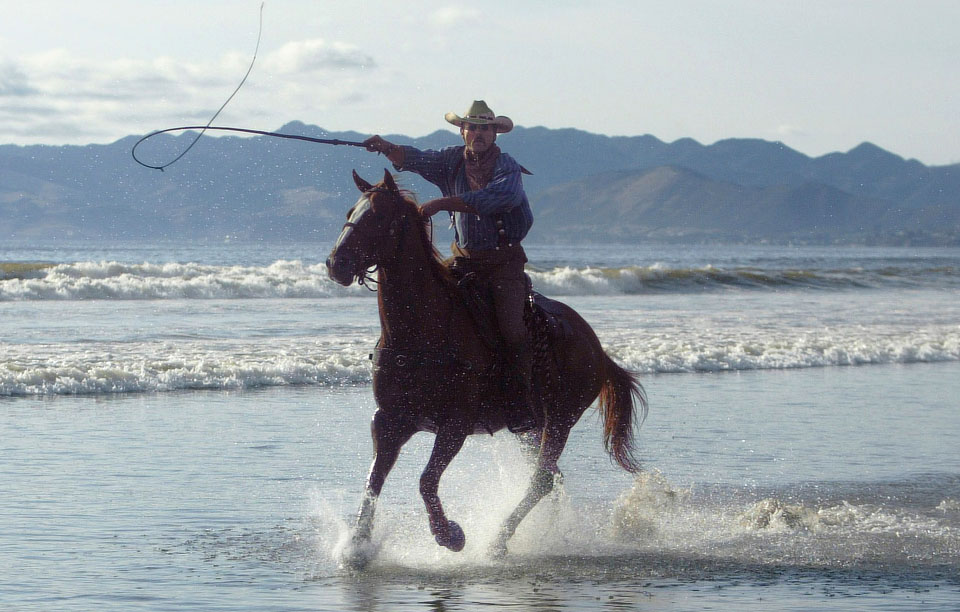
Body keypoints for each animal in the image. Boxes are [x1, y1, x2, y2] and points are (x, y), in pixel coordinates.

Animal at [326, 170, 648, 568]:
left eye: (379, 216)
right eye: (351, 212)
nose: (336, 263)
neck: (423, 328)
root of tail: (597, 349)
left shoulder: (455, 424)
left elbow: (426, 480)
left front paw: (450, 535)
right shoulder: (389, 421)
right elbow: (373, 482)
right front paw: (356, 545)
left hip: (561, 419)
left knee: (541, 480)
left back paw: (498, 540)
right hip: (531, 428)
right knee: (551, 479)